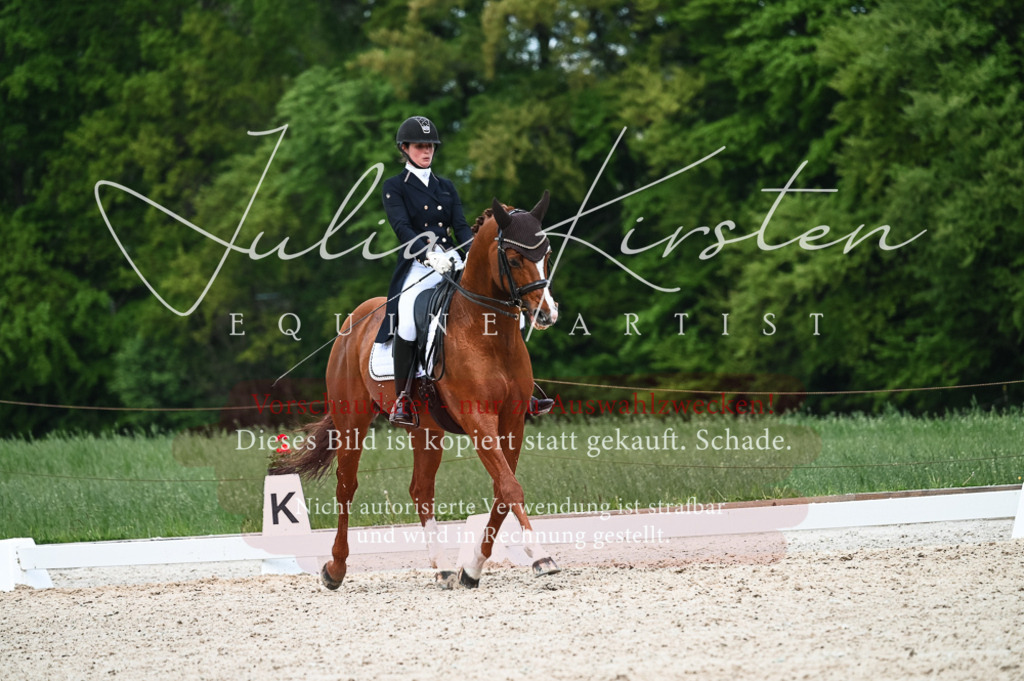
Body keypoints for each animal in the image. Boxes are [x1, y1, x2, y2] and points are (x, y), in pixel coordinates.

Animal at [270, 191, 561, 589]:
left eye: (547, 254)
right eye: (515, 258)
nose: (547, 315)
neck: (487, 332)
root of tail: (356, 318)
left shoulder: (512, 420)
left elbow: (503, 489)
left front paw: (472, 569)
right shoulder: (478, 419)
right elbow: (510, 486)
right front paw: (542, 557)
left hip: (426, 429)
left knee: (421, 489)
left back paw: (444, 567)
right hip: (352, 419)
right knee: (346, 486)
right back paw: (335, 569)